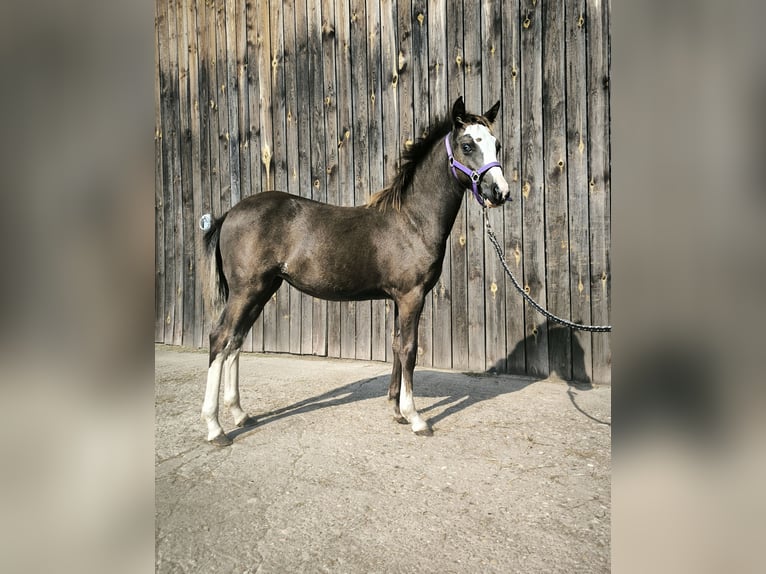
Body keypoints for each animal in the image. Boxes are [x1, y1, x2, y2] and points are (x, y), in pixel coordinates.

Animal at [200, 97, 510, 448]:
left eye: (497, 145)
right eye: (467, 145)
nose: (500, 192)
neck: (412, 220)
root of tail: (229, 213)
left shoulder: (398, 299)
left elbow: (396, 346)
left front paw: (397, 411)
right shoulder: (412, 296)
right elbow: (409, 349)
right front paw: (416, 418)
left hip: (262, 290)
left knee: (235, 341)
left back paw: (240, 413)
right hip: (246, 290)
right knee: (219, 338)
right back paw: (215, 428)